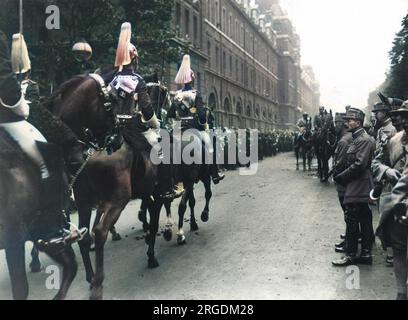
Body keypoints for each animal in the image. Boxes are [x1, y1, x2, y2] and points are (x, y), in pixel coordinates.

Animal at [47, 72, 167, 300]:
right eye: (161, 92)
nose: (116, 136)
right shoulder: (152, 193)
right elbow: (153, 221)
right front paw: (151, 255)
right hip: (116, 200)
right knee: (99, 231)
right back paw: (97, 285)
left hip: (84, 202)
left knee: (85, 236)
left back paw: (90, 277)